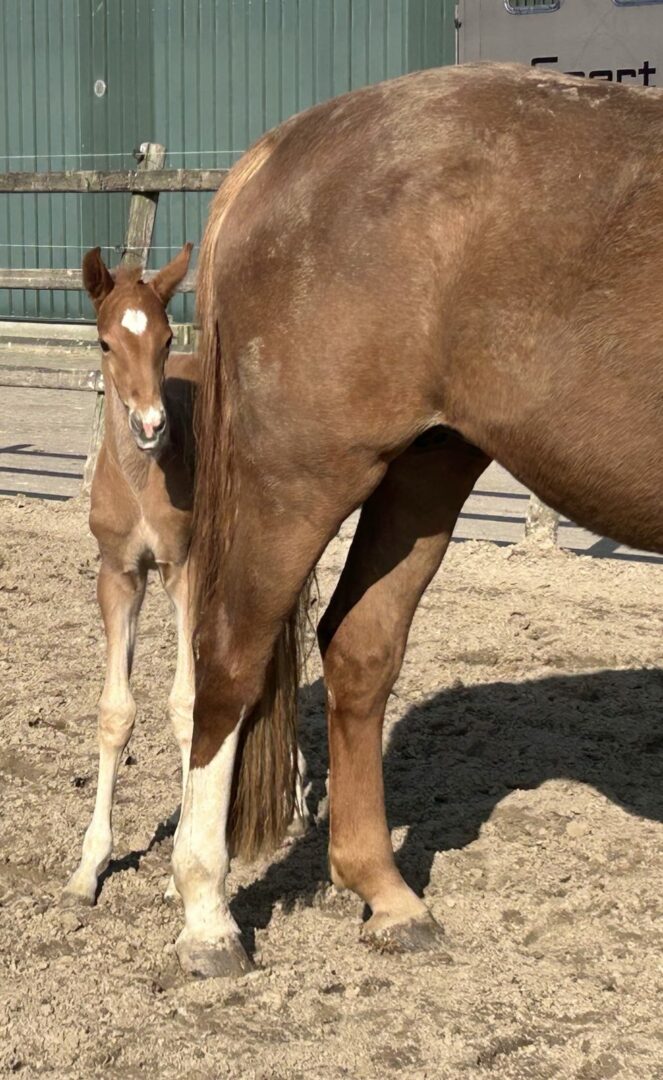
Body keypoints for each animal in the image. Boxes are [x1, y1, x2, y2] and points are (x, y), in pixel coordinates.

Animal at [168, 61, 663, 978]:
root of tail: (284, 147)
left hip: (427, 467)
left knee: (358, 648)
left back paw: (388, 898)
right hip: (300, 476)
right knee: (229, 661)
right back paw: (207, 918)